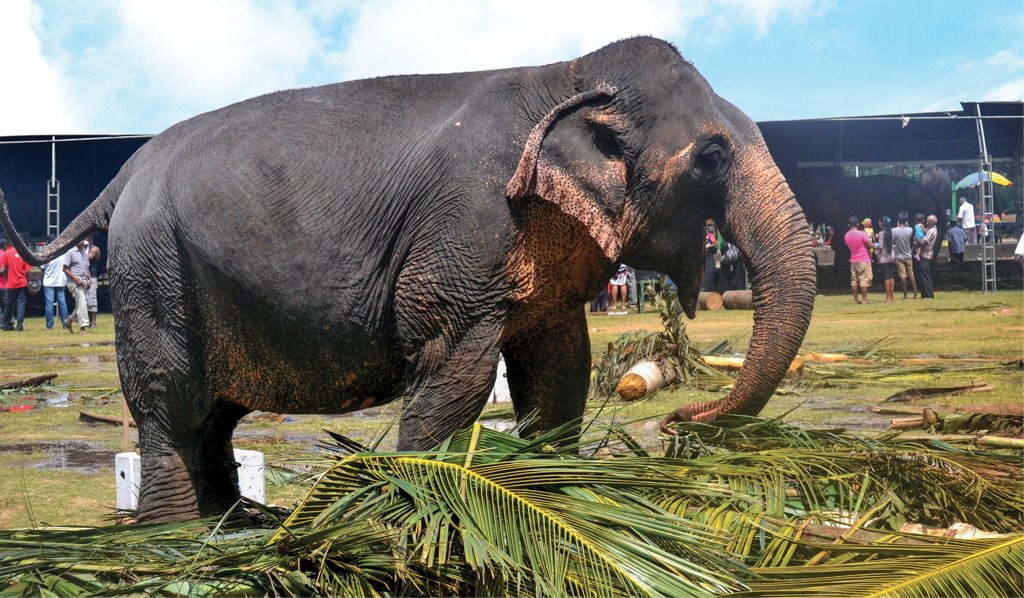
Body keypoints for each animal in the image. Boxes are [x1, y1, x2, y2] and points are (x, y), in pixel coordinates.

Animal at [0, 36, 816, 522]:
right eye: (711, 156)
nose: (681, 423)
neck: (568, 71)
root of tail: (125, 169)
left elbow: (561, 372)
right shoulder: (466, 227)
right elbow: (453, 371)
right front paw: (420, 510)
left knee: (217, 414)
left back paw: (239, 524)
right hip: (151, 271)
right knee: (170, 403)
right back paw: (177, 535)